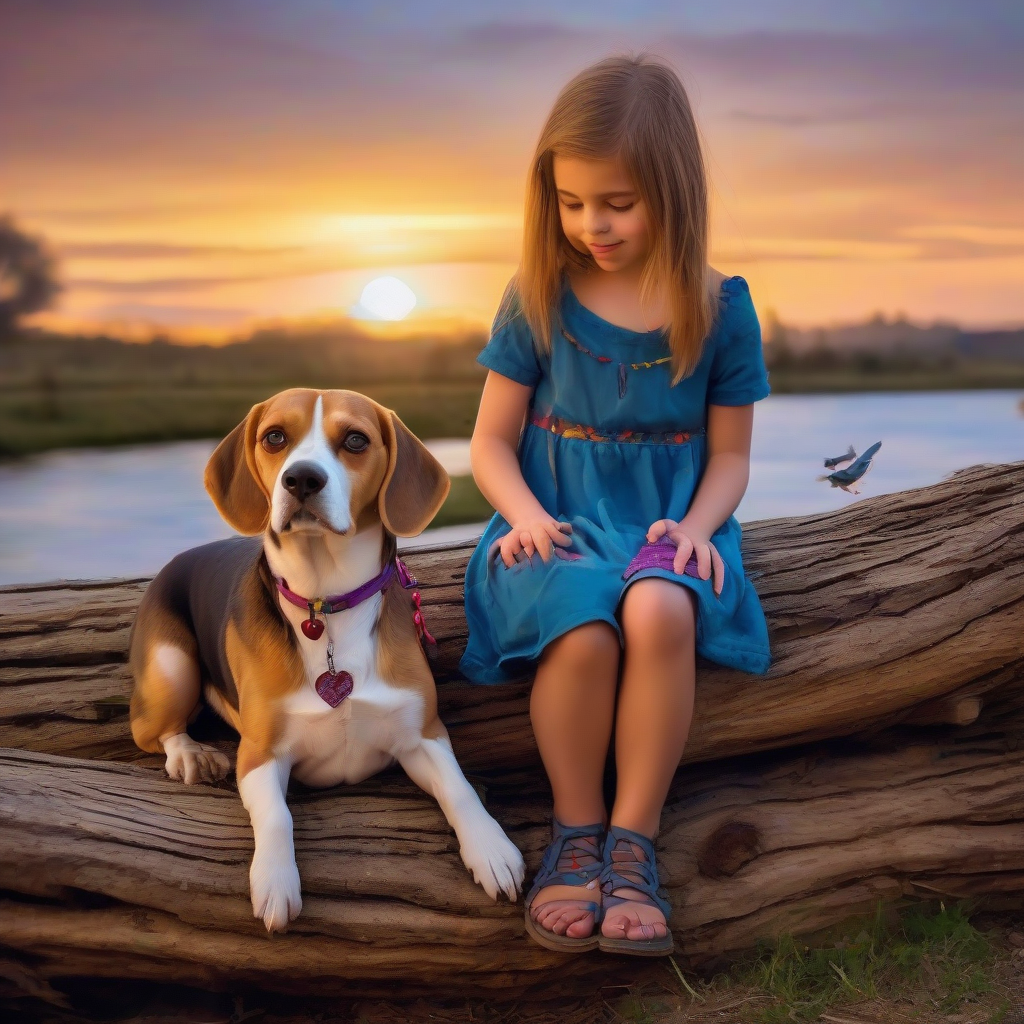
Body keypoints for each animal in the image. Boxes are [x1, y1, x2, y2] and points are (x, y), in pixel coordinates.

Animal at [128, 387, 524, 933]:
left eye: (355, 440)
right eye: (275, 437)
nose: (301, 478)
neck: (328, 603)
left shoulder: (422, 736)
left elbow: (460, 789)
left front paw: (492, 849)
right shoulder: (260, 754)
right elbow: (278, 816)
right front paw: (275, 881)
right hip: (171, 664)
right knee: (151, 730)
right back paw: (190, 754)